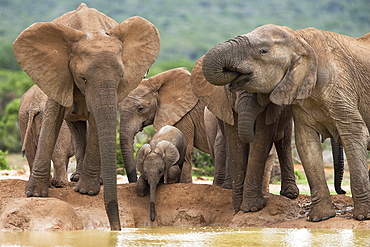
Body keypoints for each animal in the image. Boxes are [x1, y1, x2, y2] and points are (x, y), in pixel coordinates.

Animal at [12, 3, 160, 232]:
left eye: (121, 77)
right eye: (82, 78)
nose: (116, 230)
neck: (92, 30)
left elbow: (96, 124)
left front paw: (87, 192)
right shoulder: (57, 73)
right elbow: (53, 117)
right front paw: (35, 194)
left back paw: (84, 181)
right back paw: (68, 181)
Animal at [201, 24, 370, 222]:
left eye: (263, 51)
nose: (342, 192)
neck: (300, 38)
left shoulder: (339, 84)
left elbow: (354, 131)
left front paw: (363, 216)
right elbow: (306, 142)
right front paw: (320, 218)